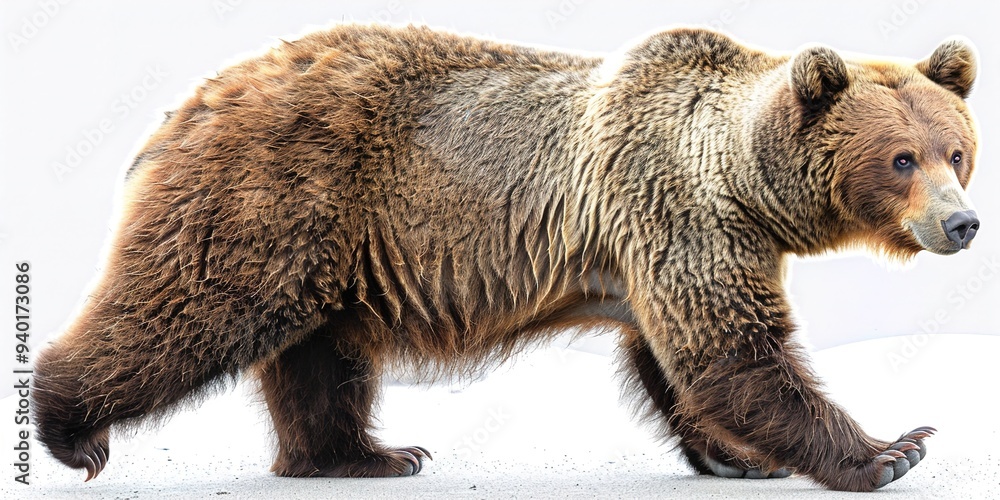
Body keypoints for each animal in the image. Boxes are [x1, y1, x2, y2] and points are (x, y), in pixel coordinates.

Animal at [32, 24, 979, 492]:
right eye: (902, 159)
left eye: (957, 151)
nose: (965, 223)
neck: (743, 178)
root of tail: (191, 100)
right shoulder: (679, 211)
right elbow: (734, 354)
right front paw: (891, 450)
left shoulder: (655, 242)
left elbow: (677, 361)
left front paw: (738, 458)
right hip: (278, 188)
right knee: (187, 311)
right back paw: (70, 430)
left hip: (326, 245)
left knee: (322, 358)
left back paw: (366, 456)